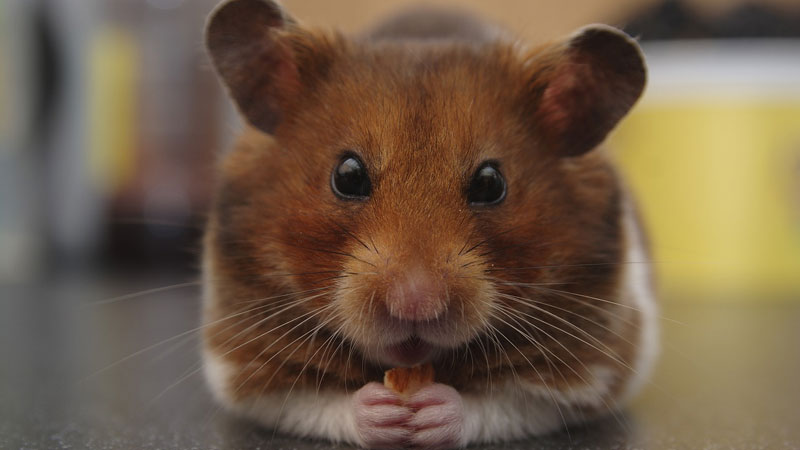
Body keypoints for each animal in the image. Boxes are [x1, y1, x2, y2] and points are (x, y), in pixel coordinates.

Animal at [200, 0, 658, 447]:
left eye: (491, 183)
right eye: (347, 176)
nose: (415, 304)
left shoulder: (591, 371)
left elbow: (499, 404)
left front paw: (431, 412)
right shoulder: (243, 365)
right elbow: (317, 402)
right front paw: (382, 412)